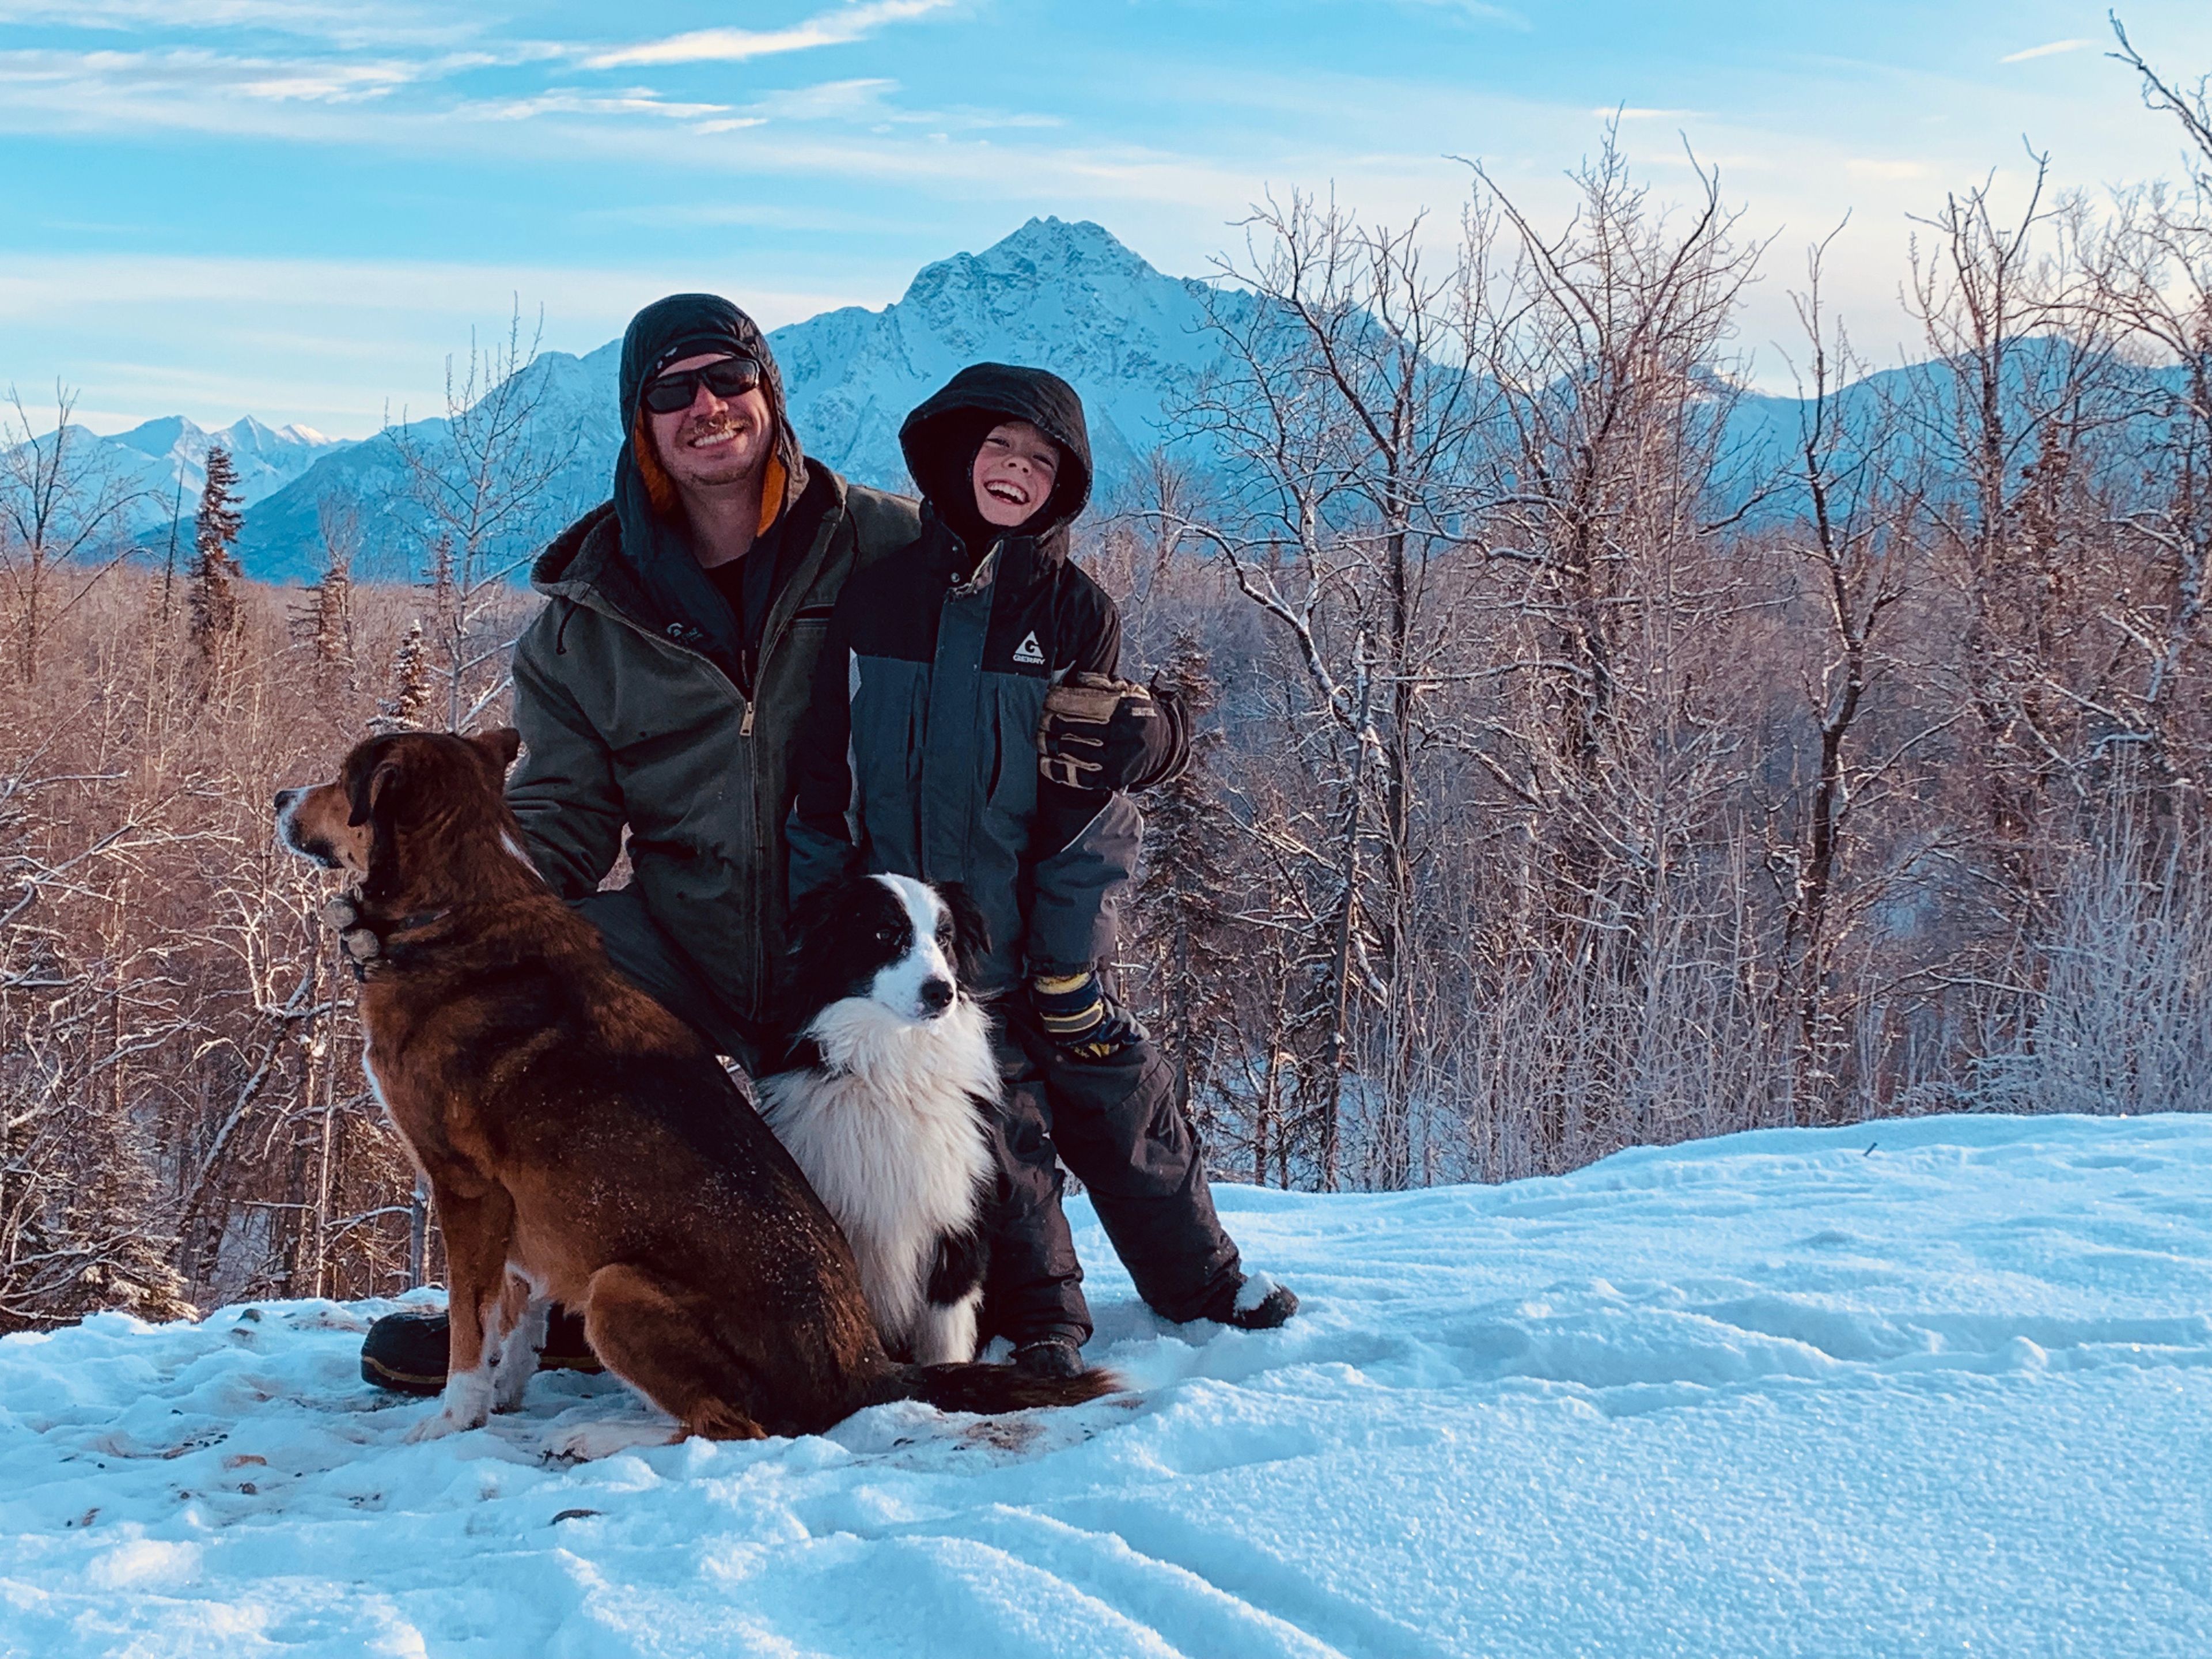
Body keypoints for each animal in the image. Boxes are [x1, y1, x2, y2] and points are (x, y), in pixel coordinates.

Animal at [760, 876, 1004, 1371]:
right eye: (886, 933)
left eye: (944, 938)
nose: (942, 993)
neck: (892, 1071)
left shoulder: (956, 1230)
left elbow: (946, 1343)